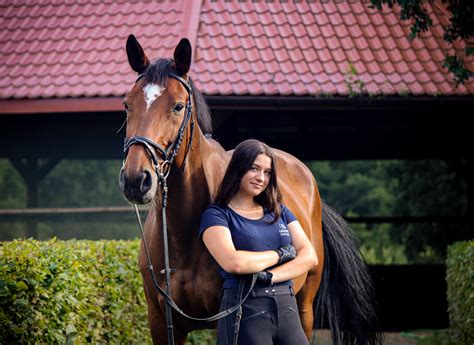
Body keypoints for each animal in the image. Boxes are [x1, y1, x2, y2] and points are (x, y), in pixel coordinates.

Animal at [119, 35, 382, 344]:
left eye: (178, 106)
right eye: (127, 105)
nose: (136, 180)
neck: (185, 234)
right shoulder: (161, 322)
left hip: (304, 308)